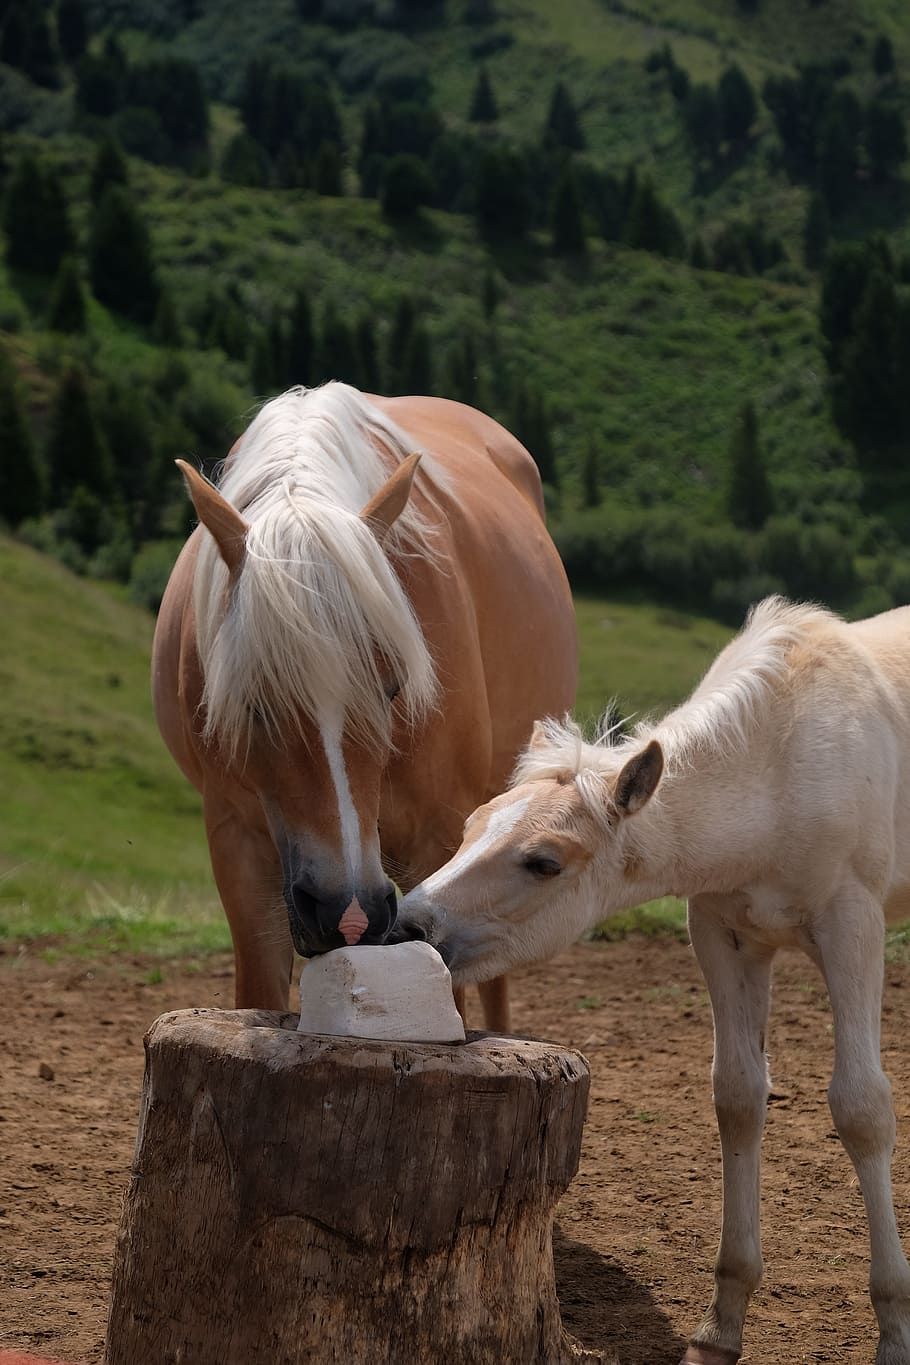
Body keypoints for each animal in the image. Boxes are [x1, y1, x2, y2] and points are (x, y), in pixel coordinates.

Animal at [151, 381, 578, 1030]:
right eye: (253, 703)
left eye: (393, 686)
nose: (348, 913)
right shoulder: (236, 840)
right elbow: (258, 992)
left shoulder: (437, 836)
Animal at [395, 595, 910, 1364]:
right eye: (471, 826)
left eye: (543, 861)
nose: (405, 921)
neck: (780, 763)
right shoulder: (723, 934)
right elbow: (739, 1097)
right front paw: (721, 1325)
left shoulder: (853, 925)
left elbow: (862, 1107)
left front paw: (895, 1328)